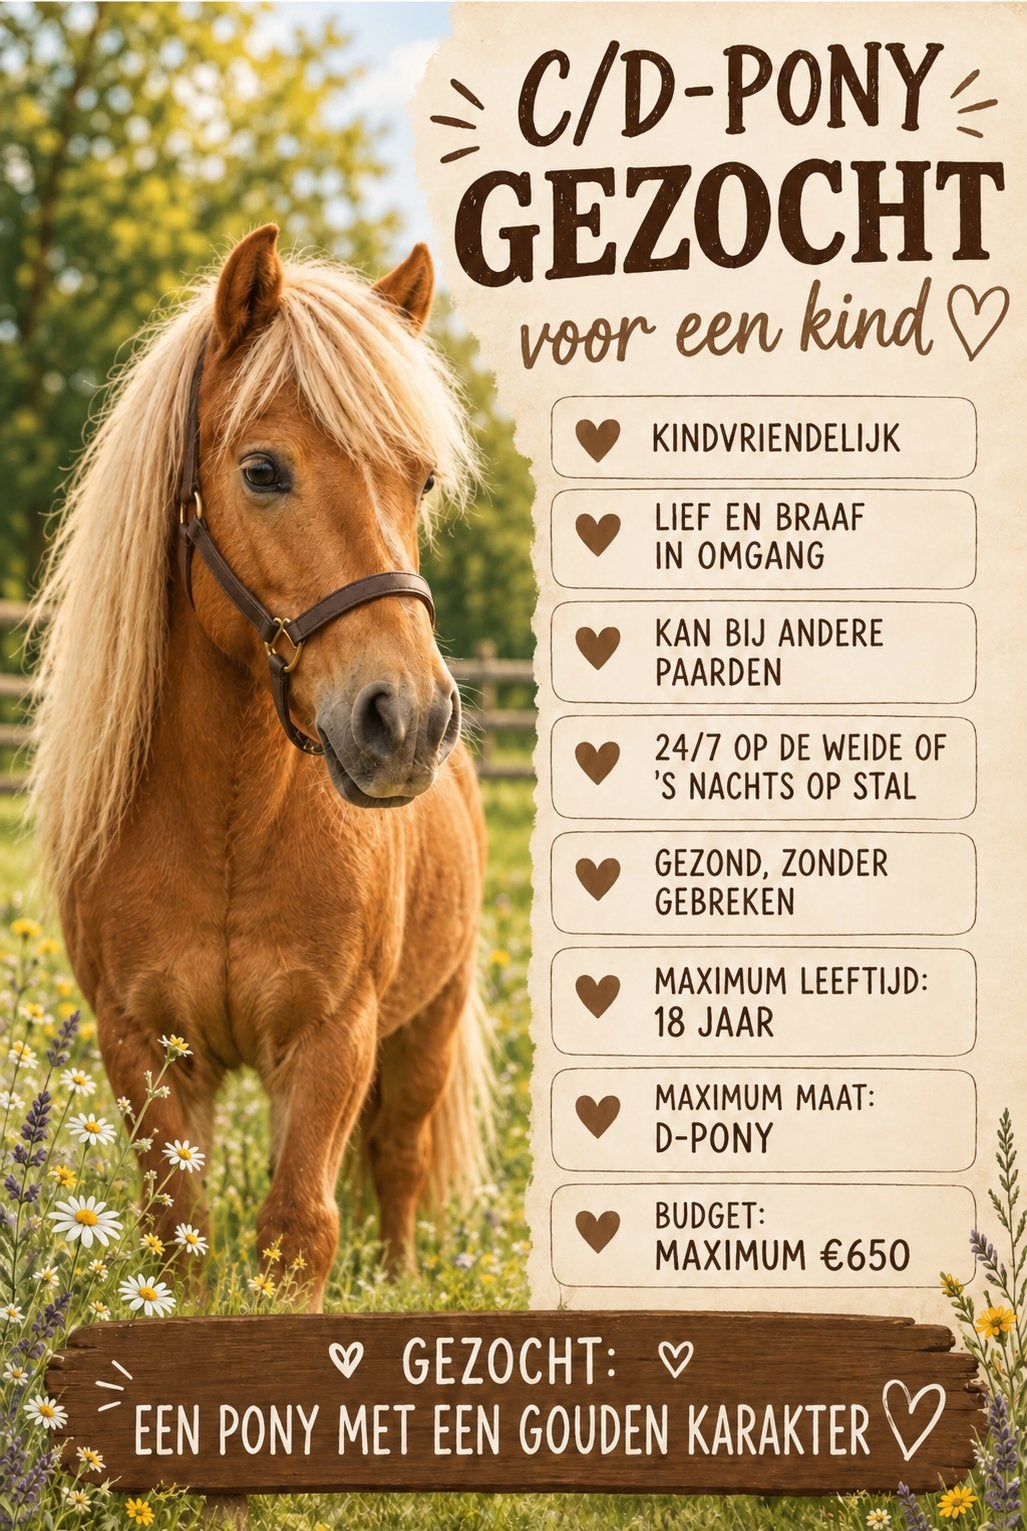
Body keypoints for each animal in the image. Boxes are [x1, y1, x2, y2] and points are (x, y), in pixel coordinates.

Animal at [29, 224, 491, 1311]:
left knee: (399, 1160)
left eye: (422, 481)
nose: (410, 719)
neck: (228, 824)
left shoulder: (333, 1041)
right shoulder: (144, 1046)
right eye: (264, 471)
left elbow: (300, 1231)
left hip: (430, 1023)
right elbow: (179, 1240)